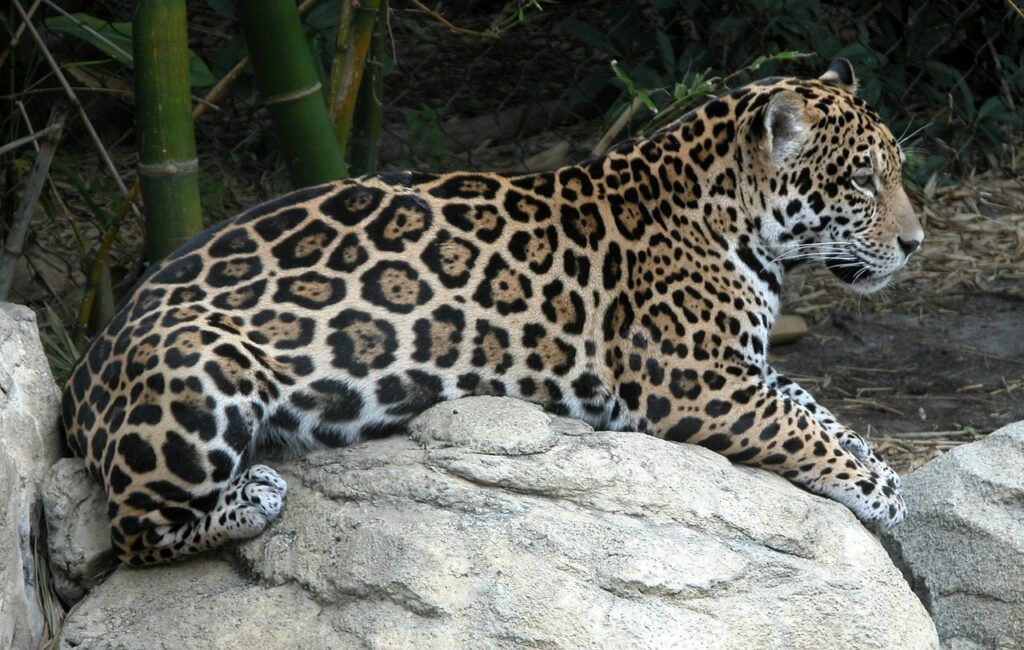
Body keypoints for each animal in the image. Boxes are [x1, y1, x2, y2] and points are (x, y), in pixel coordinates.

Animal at [61, 60, 923, 565]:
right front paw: (880, 494)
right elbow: (799, 426)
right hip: (203, 366)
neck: (733, 213)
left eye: (896, 172)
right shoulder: (696, 382)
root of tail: (79, 378)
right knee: (134, 530)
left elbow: (813, 405)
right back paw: (254, 496)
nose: (915, 244)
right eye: (862, 181)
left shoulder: (745, 369)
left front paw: (881, 466)